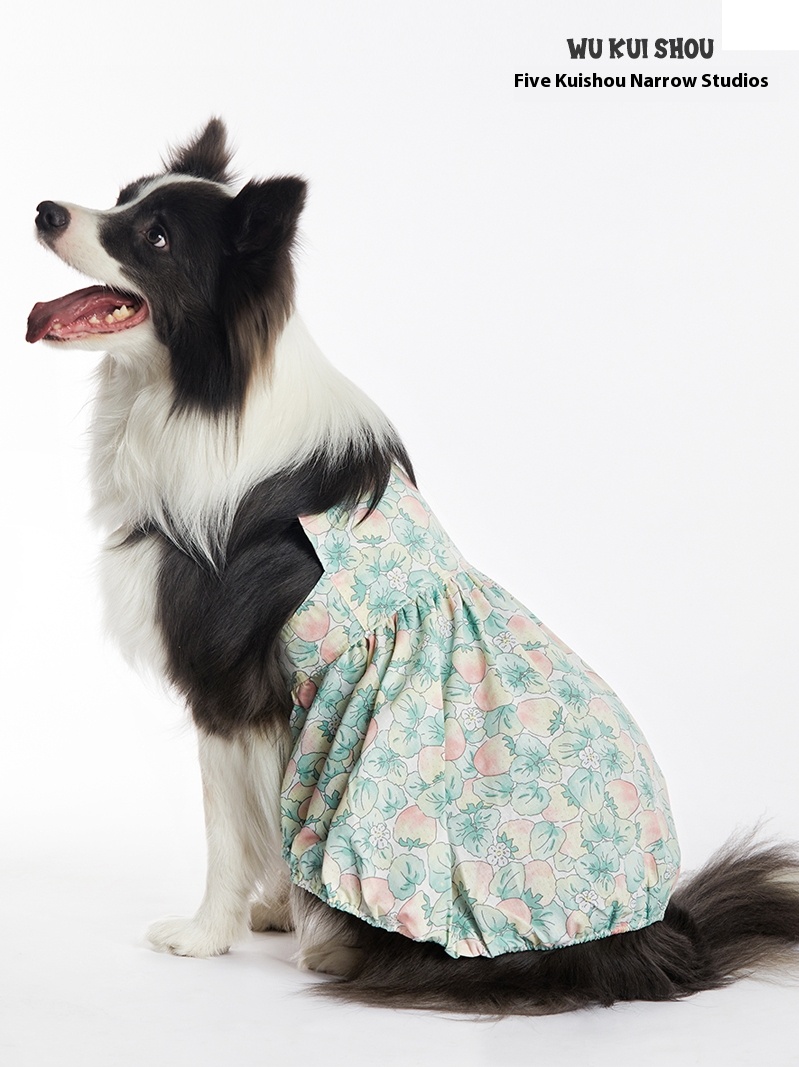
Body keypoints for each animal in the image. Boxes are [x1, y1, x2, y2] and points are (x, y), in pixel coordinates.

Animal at [27, 119, 799, 1014]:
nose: (45, 210)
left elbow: (228, 829)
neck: (206, 390)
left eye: (154, 237)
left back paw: (335, 947)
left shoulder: (227, 692)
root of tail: (651, 934)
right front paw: (269, 911)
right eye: (121, 196)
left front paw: (203, 935)